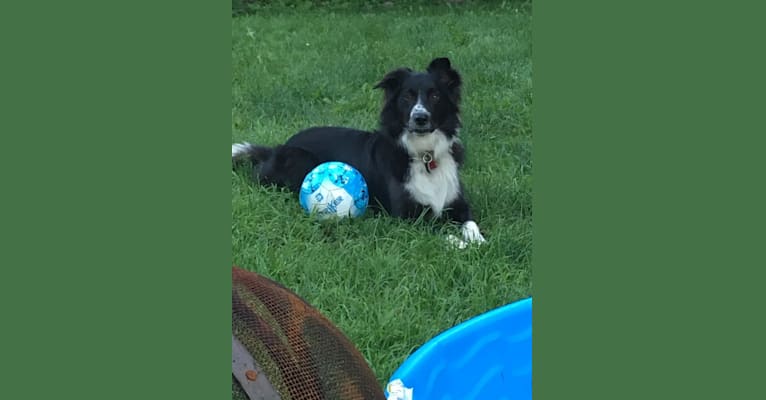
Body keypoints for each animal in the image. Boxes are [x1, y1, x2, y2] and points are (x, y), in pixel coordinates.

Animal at [231, 57, 488, 247]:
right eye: (406, 96)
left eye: (435, 95)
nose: (420, 118)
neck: (425, 155)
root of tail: (275, 149)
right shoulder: (407, 216)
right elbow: (438, 229)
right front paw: (459, 243)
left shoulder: (458, 203)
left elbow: (470, 223)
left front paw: (478, 240)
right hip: (300, 159)